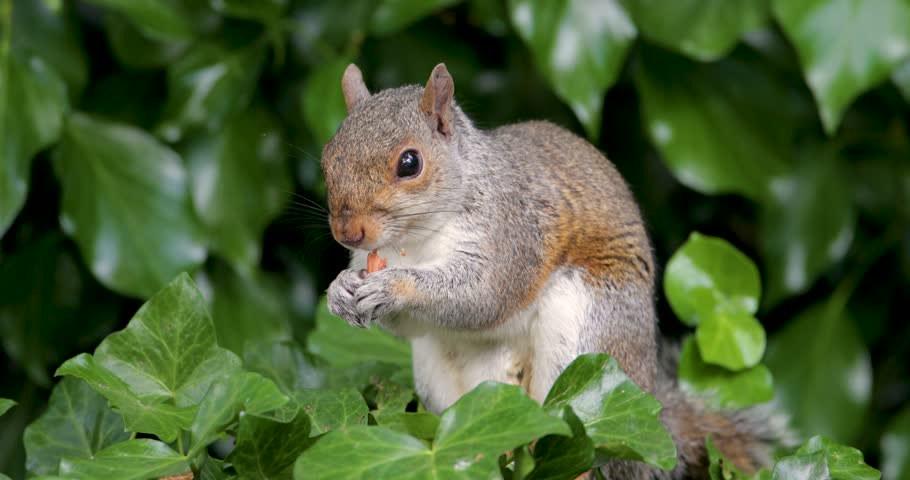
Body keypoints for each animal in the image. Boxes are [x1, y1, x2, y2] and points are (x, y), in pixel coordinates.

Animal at [323, 63, 787, 479]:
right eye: (328, 159)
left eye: (409, 163)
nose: (348, 232)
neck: (416, 242)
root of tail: (648, 400)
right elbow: (410, 325)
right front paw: (339, 290)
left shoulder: (513, 235)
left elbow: (483, 295)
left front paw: (393, 287)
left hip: (587, 337)